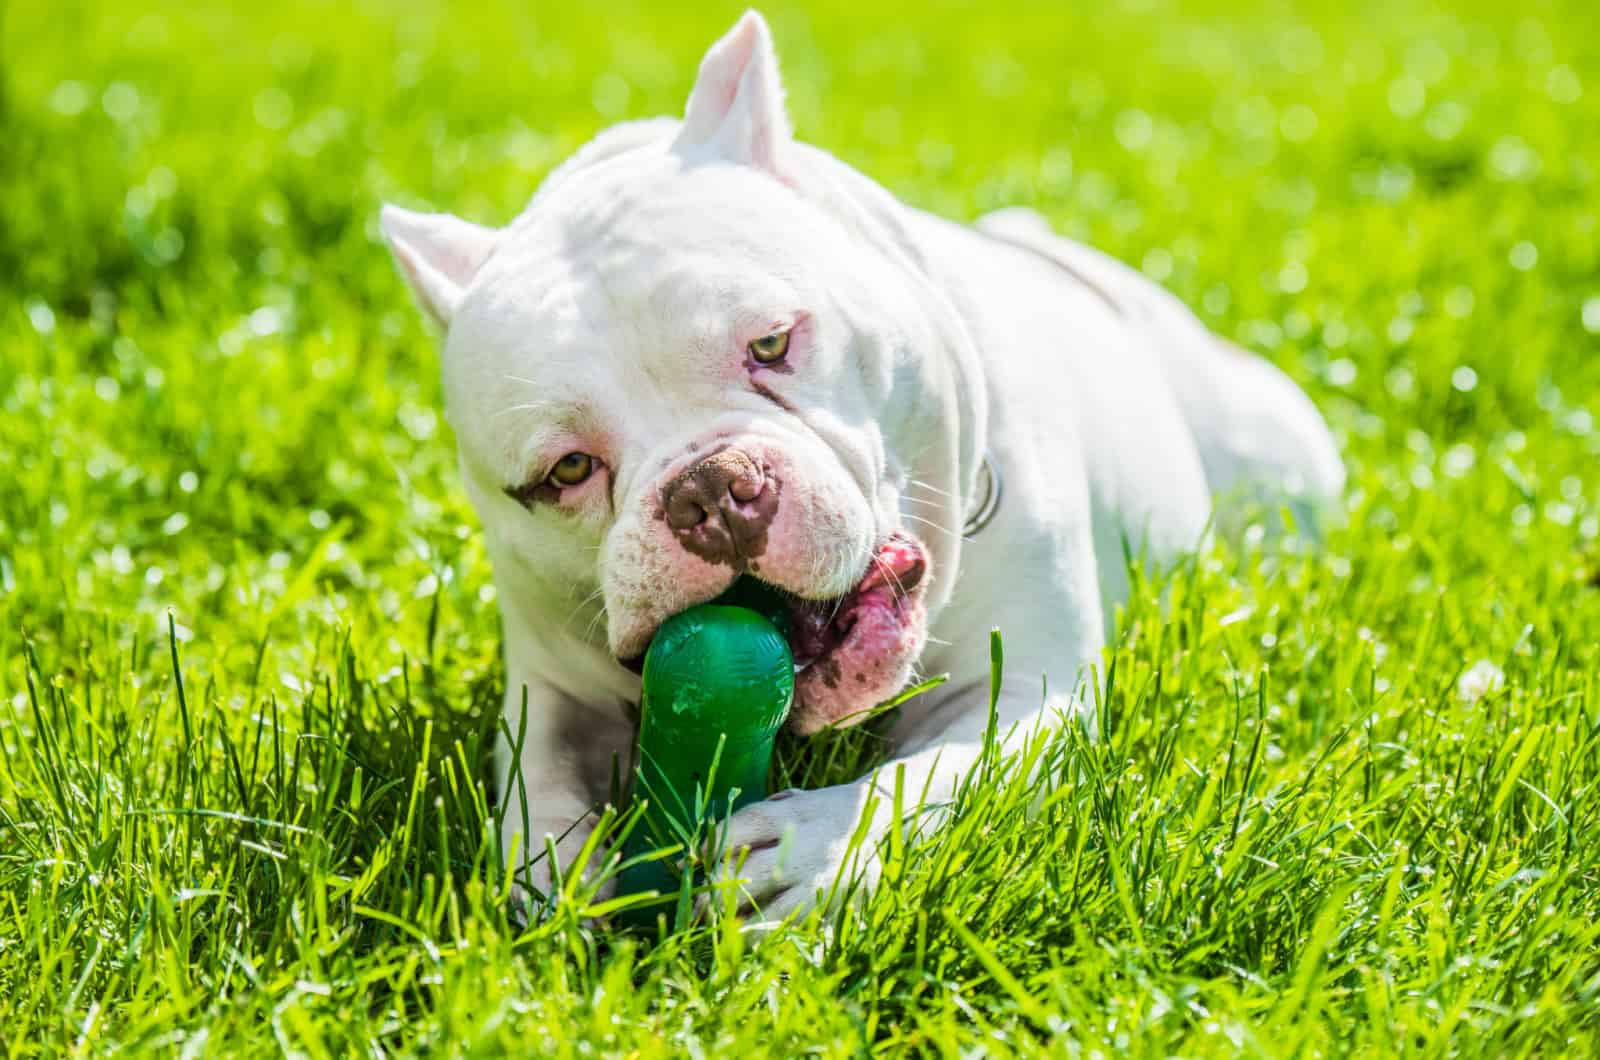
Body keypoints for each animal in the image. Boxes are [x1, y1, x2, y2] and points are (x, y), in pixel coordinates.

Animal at [380, 10, 1344, 922]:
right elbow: (533, 787)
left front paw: (812, 849)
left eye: (772, 342)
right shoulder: (550, 691)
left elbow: (934, 775)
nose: (709, 490)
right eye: (567, 472)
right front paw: (551, 891)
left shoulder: (1031, 695)